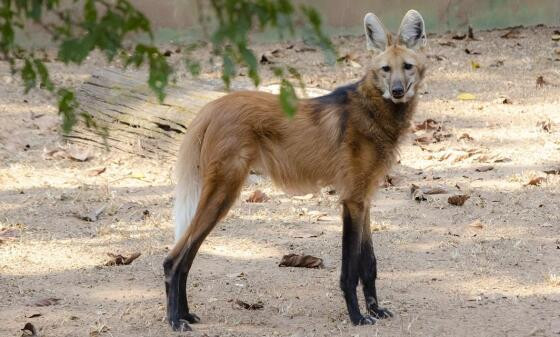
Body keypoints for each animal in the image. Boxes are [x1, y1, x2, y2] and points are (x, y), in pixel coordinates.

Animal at [164, 8, 426, 330]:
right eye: (386, 69)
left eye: (407, 67)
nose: (398, 91)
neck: (374, 111)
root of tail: (211, 107)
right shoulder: (351, 199)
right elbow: (350, 269)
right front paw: (357, 317)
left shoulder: (364, 198)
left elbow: (369, 264)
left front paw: (376, 310)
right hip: (224, 190)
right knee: (174, 259)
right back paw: (175, 321)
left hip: (222, 194)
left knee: (188, 256)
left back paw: (186, 314)